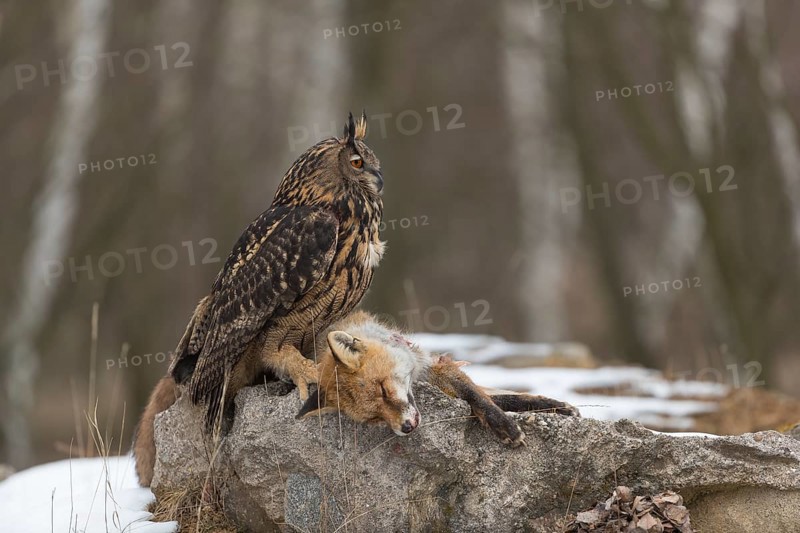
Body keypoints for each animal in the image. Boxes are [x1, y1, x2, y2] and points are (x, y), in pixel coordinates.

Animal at [133, 311, 579, 486]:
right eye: (374, 419)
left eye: (383, 389)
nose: (407, 427)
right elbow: (484, 397)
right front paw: (510, 422)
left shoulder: (430, 368)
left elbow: (487, 395)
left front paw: (536, 410)